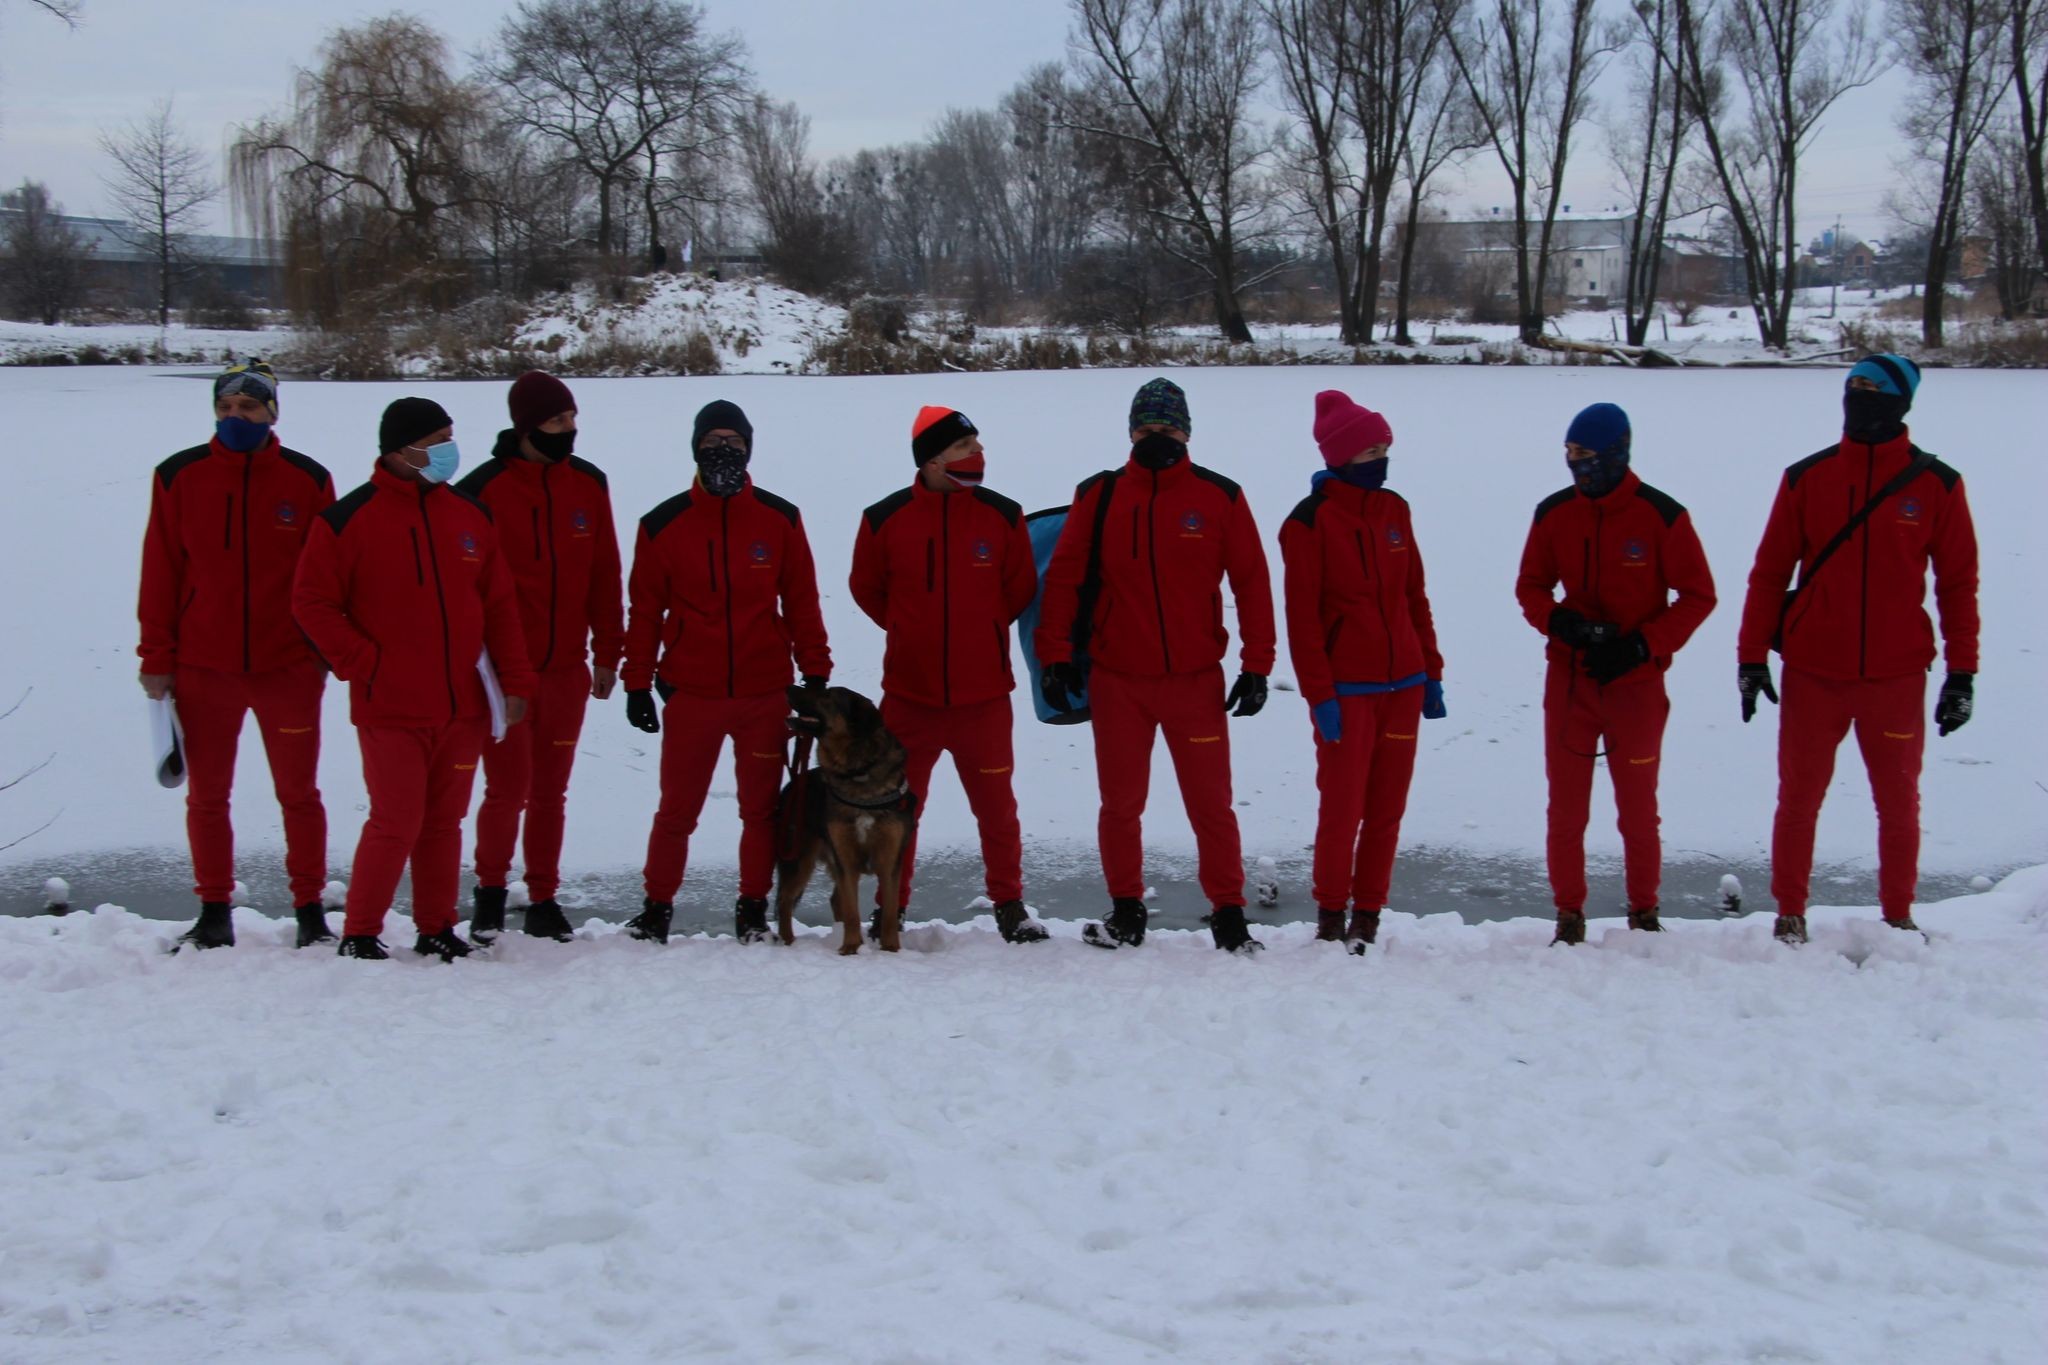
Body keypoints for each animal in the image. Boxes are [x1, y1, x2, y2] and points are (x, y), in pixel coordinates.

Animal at [774, 687, 921, 957]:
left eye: (826, 695)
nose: (789, 687)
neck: (857, 772)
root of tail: (792, 786)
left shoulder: (889, 858)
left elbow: (889, 909)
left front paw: (890, 949)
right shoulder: (845, 855)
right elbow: (852, 909)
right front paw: (850, 947)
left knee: (829, 899)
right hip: (798, 857)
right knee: (785, 901)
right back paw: (788, 943)